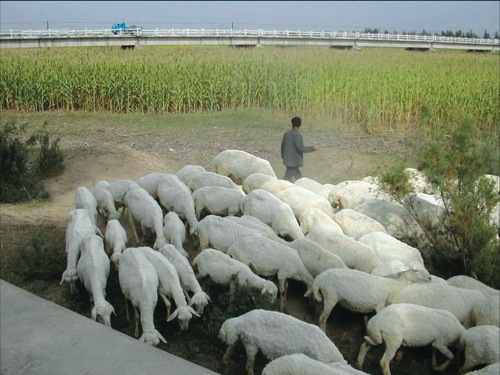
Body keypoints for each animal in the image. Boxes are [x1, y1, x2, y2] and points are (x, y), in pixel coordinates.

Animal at [220, 308, 348, 375]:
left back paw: (225, 360)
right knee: (248, 363)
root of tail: (241, 320)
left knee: (232, 345)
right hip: (251, 343)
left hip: (243, 338)